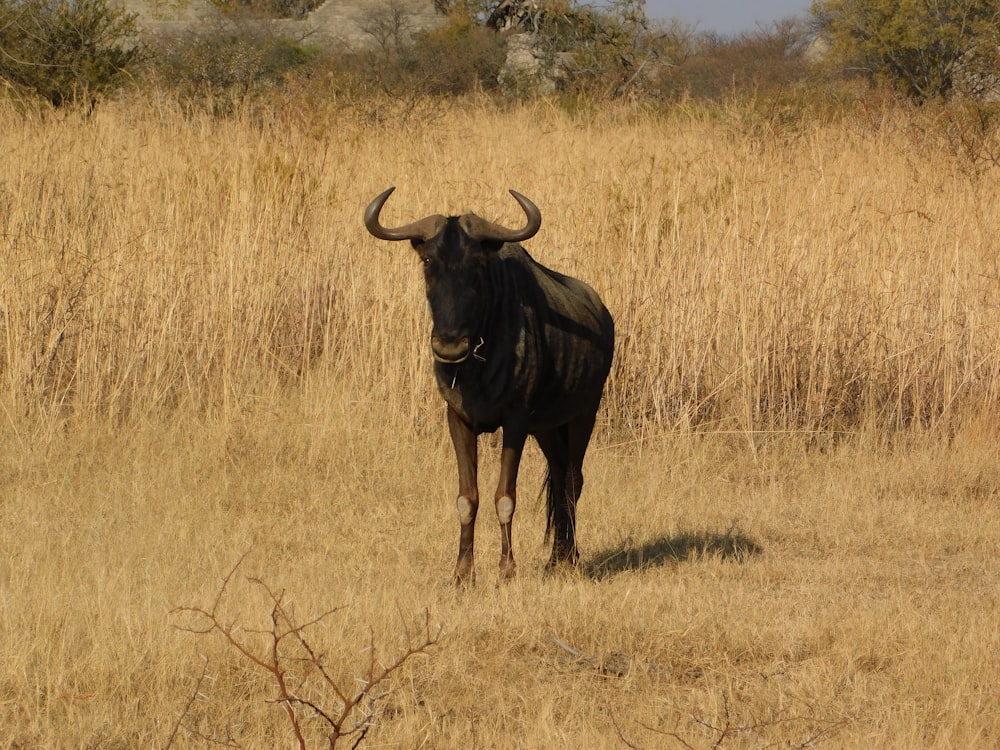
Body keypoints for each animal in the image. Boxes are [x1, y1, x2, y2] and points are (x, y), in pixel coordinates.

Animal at [366, 188, 612, 588]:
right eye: (428, 260)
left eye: (477, 263)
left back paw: (571, 560)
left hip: (584, 415)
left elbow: (504, 496)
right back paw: (554, 559)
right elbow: (468, 498)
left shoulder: (515, 422)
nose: (449, 346)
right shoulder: (459, 420)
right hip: (547, 429)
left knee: (573, 480)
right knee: (559, 476)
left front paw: (506, 570)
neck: (474, 369)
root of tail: (603, 314)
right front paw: (462, 573)